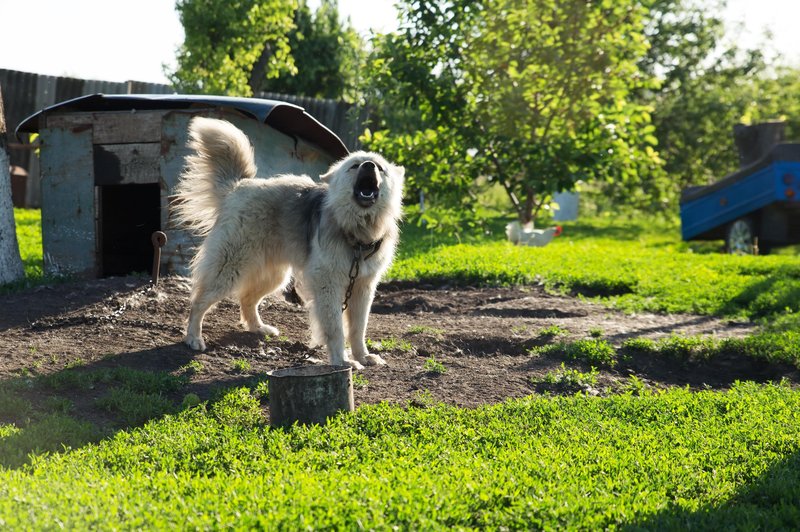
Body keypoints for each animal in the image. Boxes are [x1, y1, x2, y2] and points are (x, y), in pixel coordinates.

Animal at [171, 117, 404, 368]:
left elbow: (358, 329)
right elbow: (335, 328)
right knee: (198, 302)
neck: (358, 231)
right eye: (354, 166)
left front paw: (363, 356)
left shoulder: (363, 287)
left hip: (273, 275)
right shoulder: (328, 285)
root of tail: (238, 186)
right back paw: (193, 337)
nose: (369, 165)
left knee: (246, 298)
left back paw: (258, 328)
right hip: (229, 270)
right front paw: (343, 360)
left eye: (380, 167)